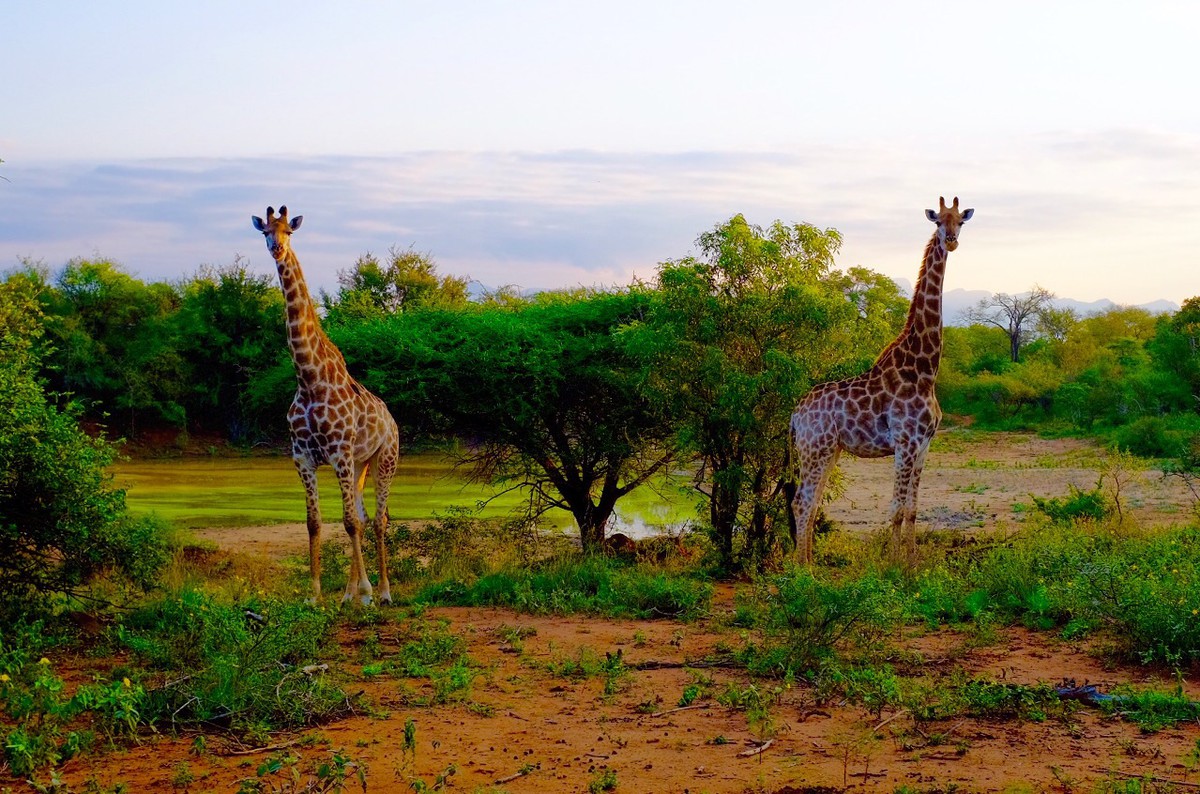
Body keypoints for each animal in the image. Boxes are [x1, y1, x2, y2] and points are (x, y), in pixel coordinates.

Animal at [253, 208, 403, 606]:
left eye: (289, 231)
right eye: (265, 232)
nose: (277, 248)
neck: (308, 378)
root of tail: (391, 420)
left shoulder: (337, 453)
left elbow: (348, 522)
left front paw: (367, 590)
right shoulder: (303, 457)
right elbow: (316, 522)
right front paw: (315, 594)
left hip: (385, 458)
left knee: (377, 519)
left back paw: (382, 592)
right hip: (359, 464)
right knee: (363, 517)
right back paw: (349, 595)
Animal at [787, 195, 974, 563]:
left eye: (961, 220)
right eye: (937, 221)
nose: (951, 240)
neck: (924, 369)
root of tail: (795, 415)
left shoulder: (924, 444)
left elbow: (913, 509)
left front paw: (913, 564)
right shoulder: (905, 442)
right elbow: (896, 509)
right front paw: (891, 565)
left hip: (828, 450)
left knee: (812, 504)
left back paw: (810, 564)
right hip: (814, 448)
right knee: (802, 502)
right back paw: (802, 570)